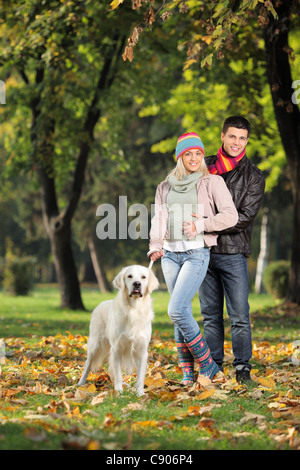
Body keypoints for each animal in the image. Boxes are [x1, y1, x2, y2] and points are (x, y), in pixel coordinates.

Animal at [77, 266, 159, 394]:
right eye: (129, 276)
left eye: (143, 277)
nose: (137, 284)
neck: (134, 310)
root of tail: (100, 304)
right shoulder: (116, 348)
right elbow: (118, 373)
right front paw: (119, 391)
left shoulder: (142, 349)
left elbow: (140, 376)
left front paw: (140, 393)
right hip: (95, 344)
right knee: (87, 365)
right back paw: (81, 383)